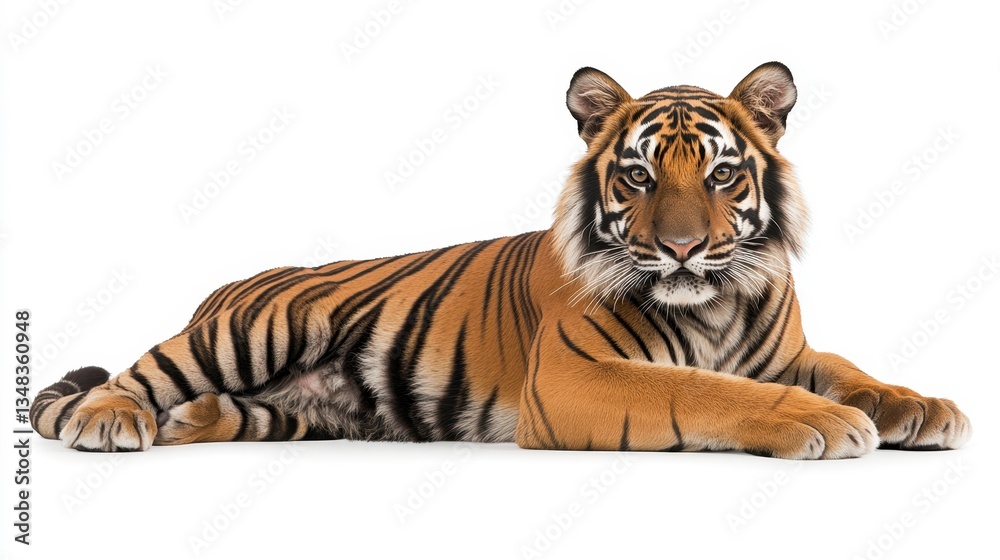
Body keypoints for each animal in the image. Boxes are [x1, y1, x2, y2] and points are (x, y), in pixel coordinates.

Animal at [31, 62, 970, 459]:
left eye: (720, 174)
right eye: (638, 175)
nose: (682, 247)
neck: (714, 300)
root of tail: (233, 282)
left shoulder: (788, 351)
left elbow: (846, 369)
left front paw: (921, 408)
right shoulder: (573, 377)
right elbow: (704, 389)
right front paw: (825, 424)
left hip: (309, 411)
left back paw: (188, 422)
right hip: (251, 330)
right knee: (130, 377)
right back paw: (111, 420)